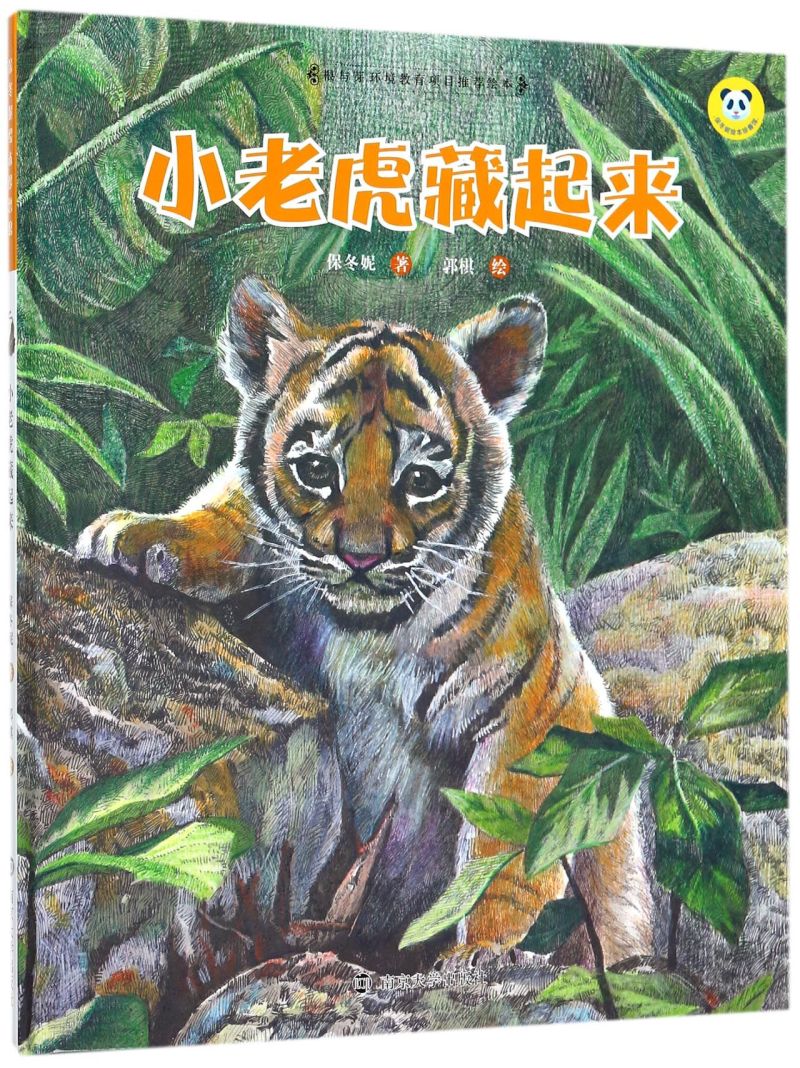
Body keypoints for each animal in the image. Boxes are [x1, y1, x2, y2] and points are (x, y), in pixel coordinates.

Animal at [76, 277, 652, 965]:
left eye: (421, 480)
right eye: (316, 471)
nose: (360, 557)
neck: (369, 634)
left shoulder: (531, 707)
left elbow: (507, 849)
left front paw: (486, 949)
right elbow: (230, 508)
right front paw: (140, 535)